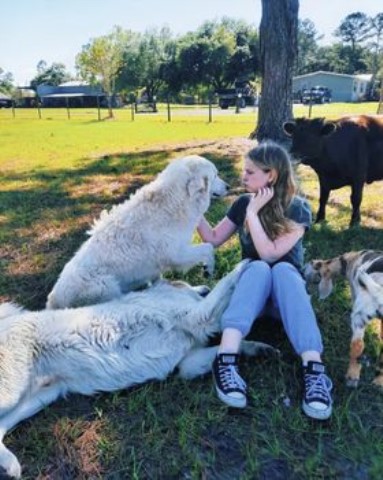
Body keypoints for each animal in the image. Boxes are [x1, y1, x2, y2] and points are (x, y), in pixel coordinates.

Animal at [0, 262, 276, 480]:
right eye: (185, 282)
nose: (204, 288)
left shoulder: (187, 363)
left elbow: (225, 347)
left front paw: (256, 348)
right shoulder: (199, 316)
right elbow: (228, 280)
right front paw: (248, 263)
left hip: (42, 396)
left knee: (1, 427)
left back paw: (10, 465)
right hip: (11, 391)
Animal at [47, 156, 228, 310]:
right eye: (215, 175)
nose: (228, 187)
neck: (174, 201)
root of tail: (53, 300)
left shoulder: (159, 265)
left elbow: (162, 281)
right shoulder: (176, 254)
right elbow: (208, 247)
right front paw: (209, 268)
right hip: (106, 286)